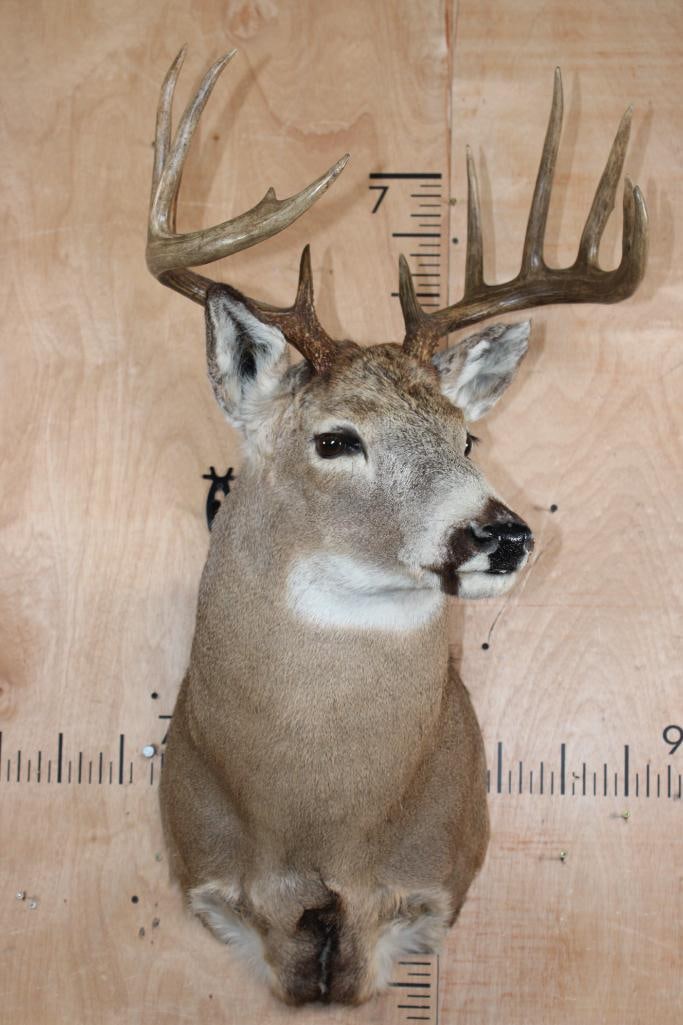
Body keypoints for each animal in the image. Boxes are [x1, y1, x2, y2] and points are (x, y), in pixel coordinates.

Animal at [147, 48, 647, 1006]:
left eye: (464, 435)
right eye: (335, 439)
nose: (502, 535)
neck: (317, 814)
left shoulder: (418, 888)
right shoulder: (217, 883)